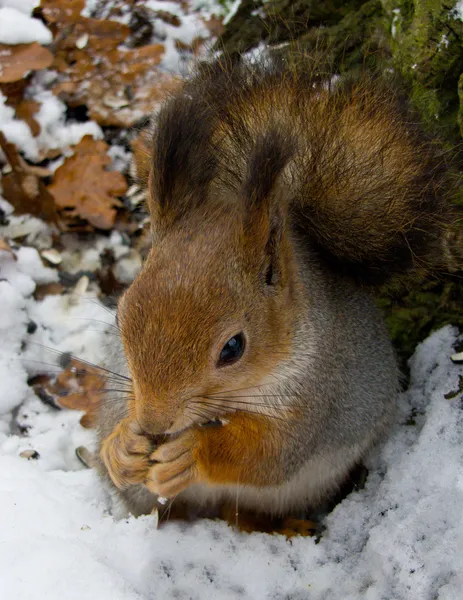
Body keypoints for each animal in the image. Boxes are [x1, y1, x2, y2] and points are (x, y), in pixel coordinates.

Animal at [95, 56, 460, 524]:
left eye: (233, 348)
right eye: (120, 317)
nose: (156, 424)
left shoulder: (315, 396)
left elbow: (269, 454)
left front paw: (192, 453)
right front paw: (122, 445)